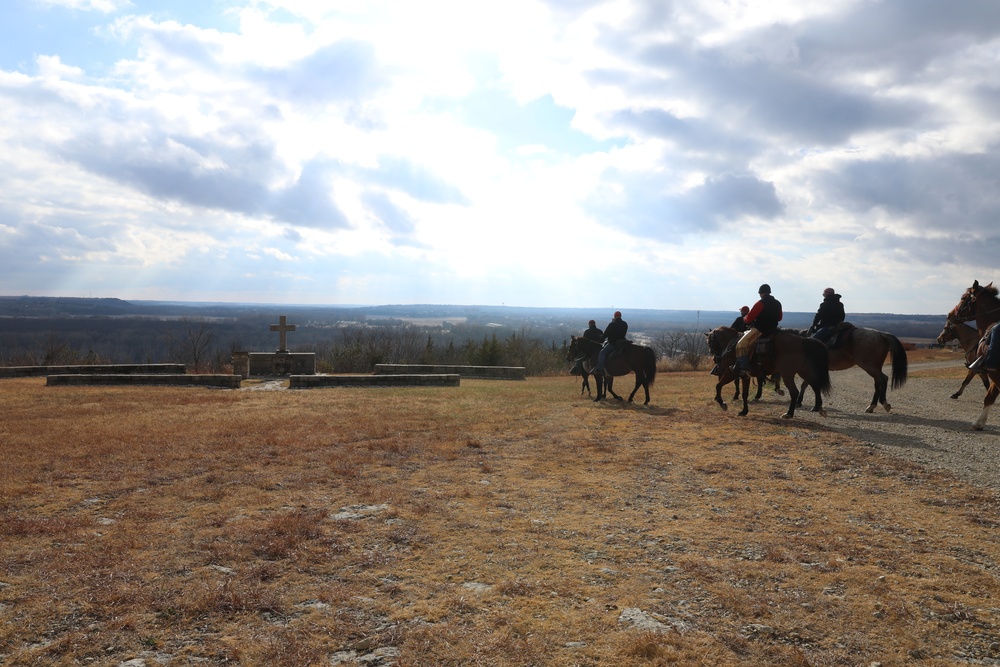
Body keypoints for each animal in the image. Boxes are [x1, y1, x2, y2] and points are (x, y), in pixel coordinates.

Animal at [944, 280, 1000, 430]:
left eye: (963, 297)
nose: (949, 314)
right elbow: (989, 393)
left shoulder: (987, 370)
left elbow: (988, 394)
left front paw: (979, 422)